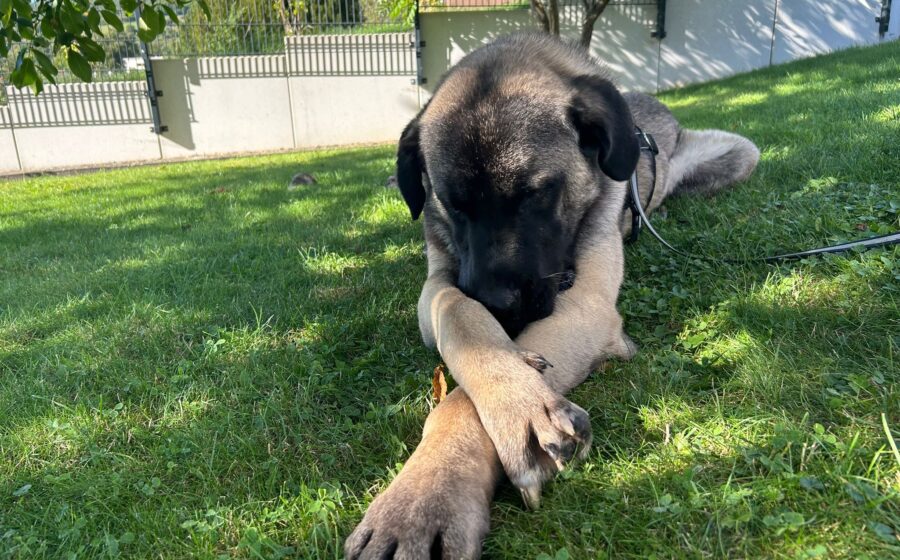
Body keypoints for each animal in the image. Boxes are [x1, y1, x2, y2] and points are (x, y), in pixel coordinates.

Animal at [345, 33, 759, 559]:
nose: (499, 306)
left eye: (536, 193)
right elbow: (456, 310)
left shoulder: (587, 303)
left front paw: (432, 489)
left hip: (739, 153)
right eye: (454, 204)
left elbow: (460, 400)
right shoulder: (438, 282)